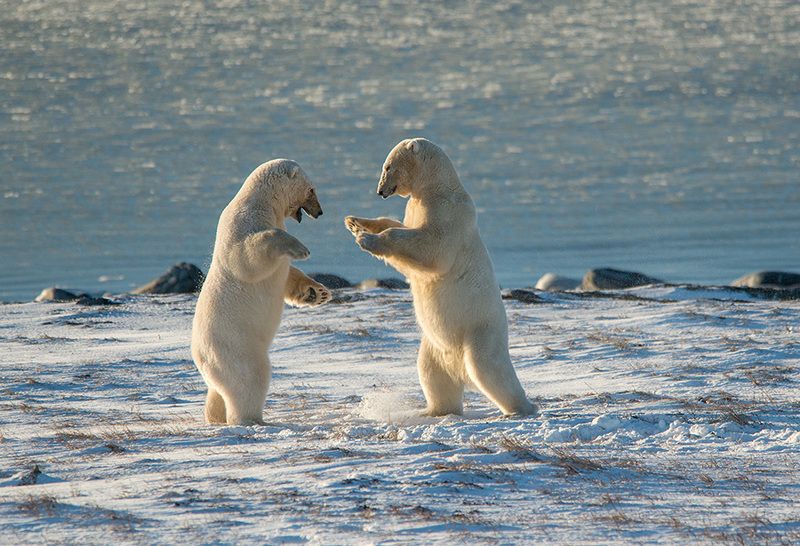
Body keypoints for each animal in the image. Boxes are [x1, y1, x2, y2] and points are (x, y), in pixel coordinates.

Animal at [192, 159, 331, 426]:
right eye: (311, 190)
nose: (319, 212)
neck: (262, 202)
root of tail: (199, 357)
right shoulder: (243, 223)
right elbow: (247, 256)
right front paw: (301, 248)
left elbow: (287, 275)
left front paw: (317, 293)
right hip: (235, 347)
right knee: (250, 379)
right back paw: (252, 419)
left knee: (218, 392)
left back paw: (215, 417)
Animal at [345, 138, 538, 417]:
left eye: (388, 166)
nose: (380, 191)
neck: (436, 186)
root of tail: (459, 368)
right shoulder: (416, 207)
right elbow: (404, 235)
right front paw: (356, 222)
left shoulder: (447, 212)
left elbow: (432, 248)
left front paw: (366, 239)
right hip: (434, 347)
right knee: (431, 373)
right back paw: (433, 410)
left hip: (480, 331)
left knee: (489, 368)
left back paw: (521, 407)